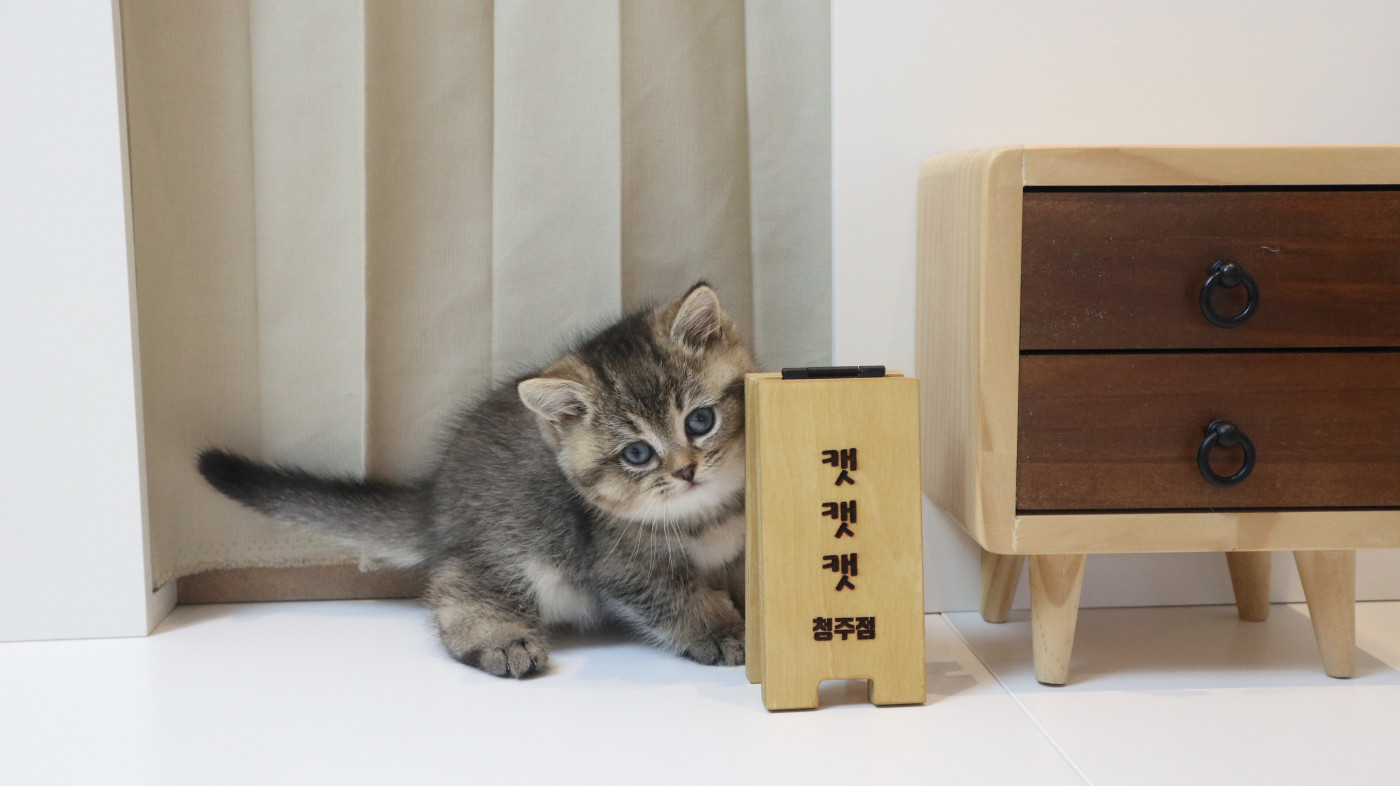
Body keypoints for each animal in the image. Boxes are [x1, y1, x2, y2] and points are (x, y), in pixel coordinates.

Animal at [198, 283, 752, 678]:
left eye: (699, 421)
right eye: (637, 453)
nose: (686, 469)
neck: (708, 513)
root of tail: (436, 499)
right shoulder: (617, 561)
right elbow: (674, 598)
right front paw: (722, 630)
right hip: (514, 543)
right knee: (452, 583)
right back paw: (498, 638)